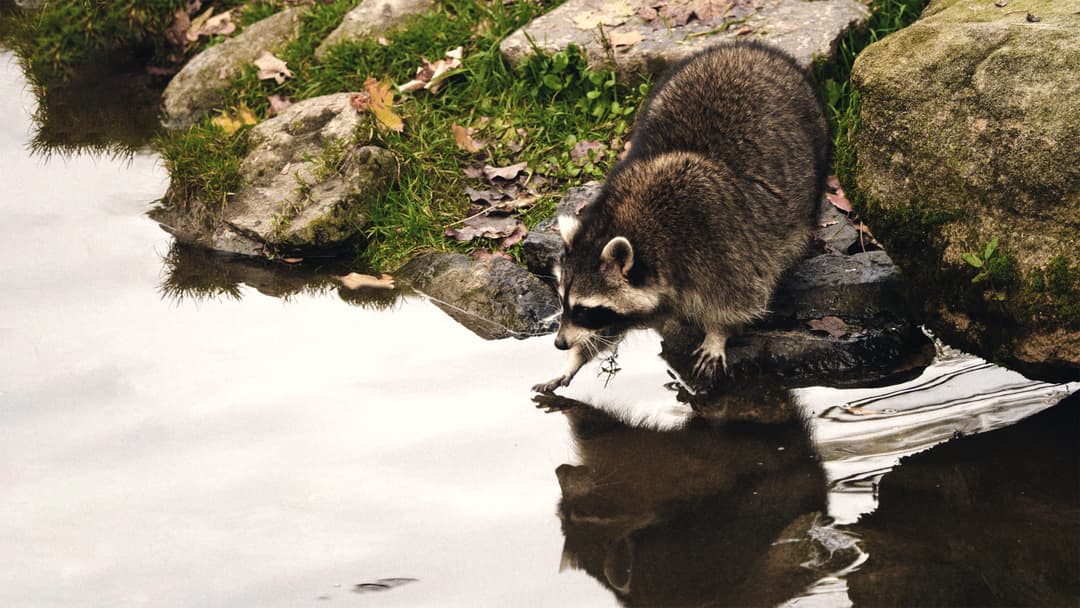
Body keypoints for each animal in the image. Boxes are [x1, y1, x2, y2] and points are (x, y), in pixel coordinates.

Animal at [535, 44, 829, 395]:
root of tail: (749, 48)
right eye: (562, 301)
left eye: (585, 310)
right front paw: (575, 359)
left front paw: (718, 332)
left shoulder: (716, 237)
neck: (625, 221)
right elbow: (607, 331)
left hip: (811, 155)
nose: (559, 344)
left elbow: (739, 295)